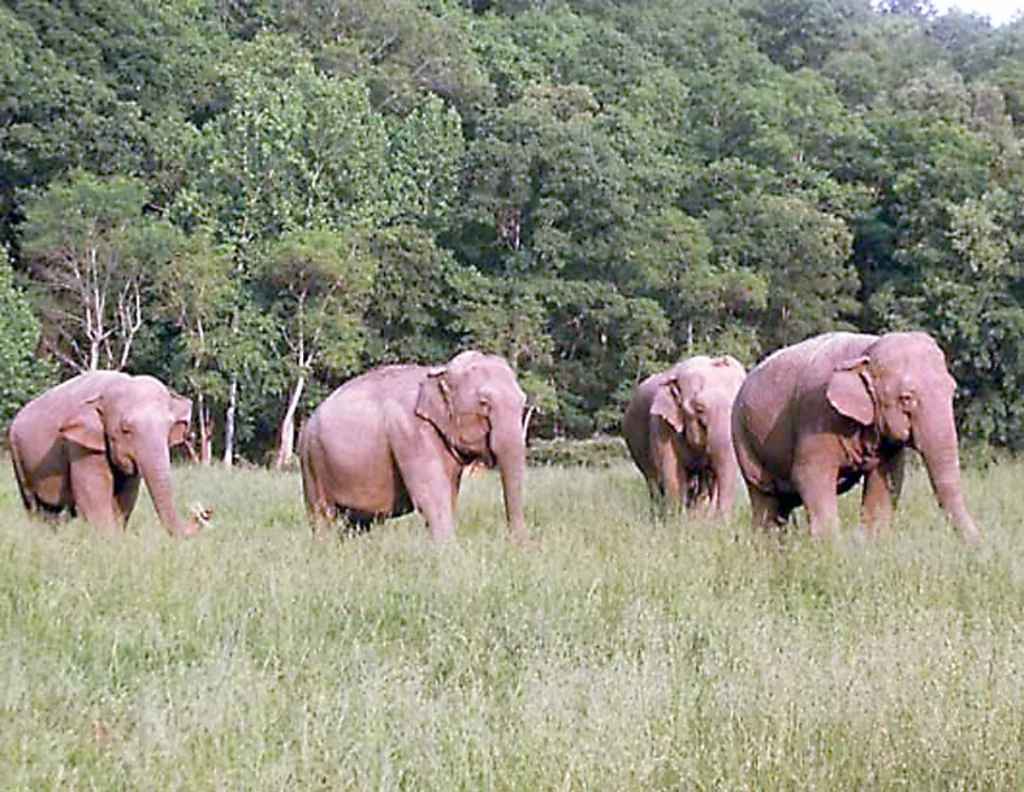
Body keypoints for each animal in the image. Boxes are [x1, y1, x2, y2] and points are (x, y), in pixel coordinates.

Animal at [8, 371, 210, 536]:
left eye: (169, 428)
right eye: (125, 429)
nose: (205, 513)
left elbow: (126, 496)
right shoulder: (79, 445)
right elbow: (93, 494)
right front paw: (107, 543)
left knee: (52, 513)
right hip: (17, 455)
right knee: (33, 505)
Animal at [298, 350, 528, 542]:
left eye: (523, 402)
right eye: (484, 403)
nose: (516, 546)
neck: (440, 372)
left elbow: (449, 495)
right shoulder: (410, 430)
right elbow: (430, 495)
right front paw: (449, 552)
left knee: (357, 521)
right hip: (312, 461)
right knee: (322, 514)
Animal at [623, 355, 746, 516]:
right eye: (699, 409)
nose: (721, 519)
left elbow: (709, 477)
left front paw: (697, 518)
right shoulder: (661, 424)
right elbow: (671, 473)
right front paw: (676, 518)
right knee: (653, 482)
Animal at [731, 331, 979, 541]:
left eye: (952, 390)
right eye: (906, 398)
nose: (980, 546)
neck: (867, 350)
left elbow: (887, 480)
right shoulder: (817, 414)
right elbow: (809, 475)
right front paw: (830, 551)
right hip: (744, 441)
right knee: (766, 503)